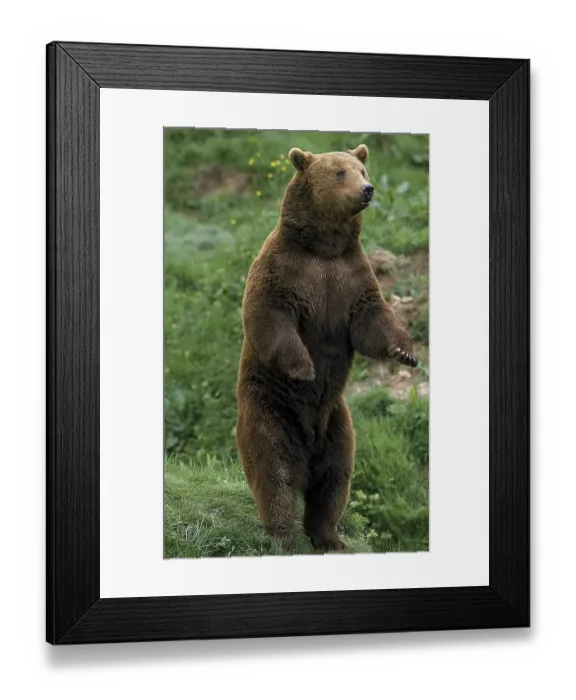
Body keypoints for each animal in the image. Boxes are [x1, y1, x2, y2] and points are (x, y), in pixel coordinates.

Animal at [236, 144, 417, 552]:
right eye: (338, 172)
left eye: (362, 169)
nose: (367, 189)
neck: (324, 248)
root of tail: (307, 447)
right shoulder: (285, 270)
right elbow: (270, 316)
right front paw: (305, 367)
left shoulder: (350, 277)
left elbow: (373, 320)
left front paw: (406, 353)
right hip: (269, 408)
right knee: (273, 471)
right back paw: (282, 536)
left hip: (338, 422)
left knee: (335, 478)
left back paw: (330, 536)